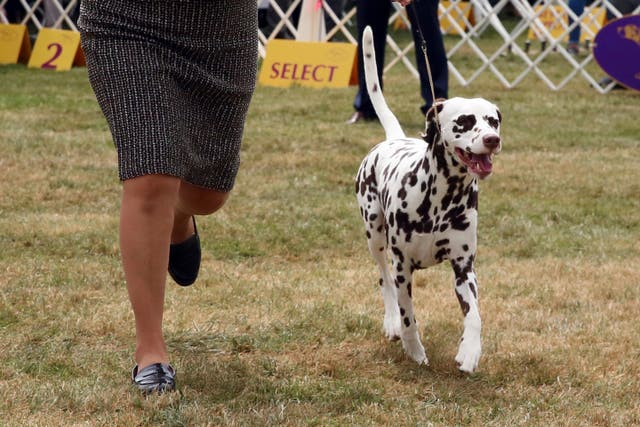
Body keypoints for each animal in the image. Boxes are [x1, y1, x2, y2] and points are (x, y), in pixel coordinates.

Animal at [352, 27, 502, 374]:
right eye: (465, 121)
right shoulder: (403, 267)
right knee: (383, 280)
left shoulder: (464, 269)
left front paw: (469, 351)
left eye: (493, 121)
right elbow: (408, 314)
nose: (492, 139)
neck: (442, 198)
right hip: (375, 236)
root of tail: (394, 138)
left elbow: (475, 316)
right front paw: (413, 348)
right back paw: (391, 322)